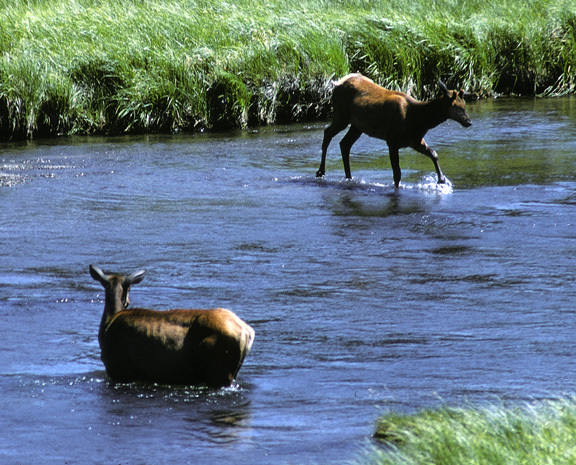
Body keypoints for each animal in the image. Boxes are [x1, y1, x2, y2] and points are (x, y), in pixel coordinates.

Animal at [89, 262, 254, 386]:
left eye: (129, 289)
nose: (128, 301)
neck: (109, 322)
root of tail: (248, 332)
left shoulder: (118, 369)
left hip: (219, 370)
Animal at [316, 72, 472, 187]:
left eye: (464, 105)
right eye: (456, 107)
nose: (469, 122)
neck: (418, 120)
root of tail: (337, 84)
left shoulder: (415, 140)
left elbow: (434, 153)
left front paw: (441, 179)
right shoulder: (392, 140)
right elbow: (397, 174)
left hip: (357, 126)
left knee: (344, 143)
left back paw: (349, 177)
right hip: (341, 116)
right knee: (327, 133)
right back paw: (321, 171)